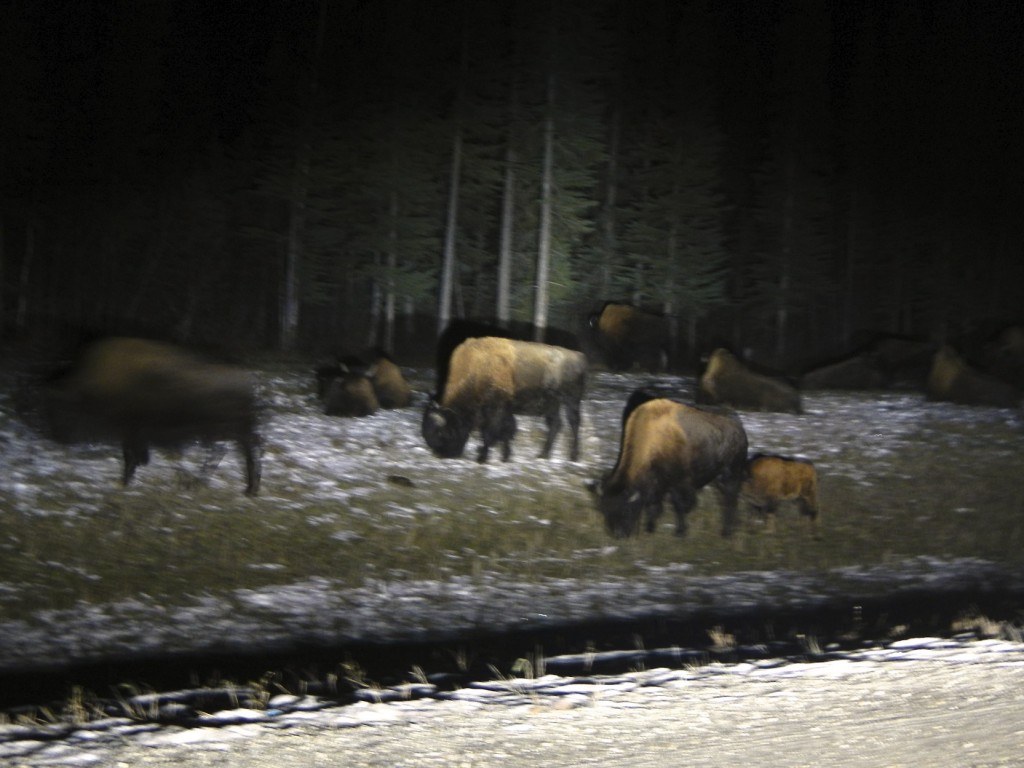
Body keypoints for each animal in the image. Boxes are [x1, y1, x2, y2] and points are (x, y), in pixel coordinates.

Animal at [44, 336, 262, 494]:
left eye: (63, 410)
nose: (57, 437)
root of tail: (245, 382)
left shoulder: (130, 430)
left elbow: (130, 457)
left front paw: (125, 481)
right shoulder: (133, 432)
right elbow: (135, 456)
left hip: (223, 431)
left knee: (230, 453)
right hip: (223, 432)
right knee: (232, 452)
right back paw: (244, 488)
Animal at [422, 336, 586, 463]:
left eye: (443, 433)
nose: (442, 454)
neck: (477, 371)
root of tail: (578, 356)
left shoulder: (496, 408)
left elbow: (491, 432)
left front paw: (482, 457)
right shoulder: (504, 411)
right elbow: (505, 431)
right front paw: (505, 456)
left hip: (571, 401)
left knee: (574, 424)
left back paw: (573, 457)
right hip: (551, 405)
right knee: (556, 425)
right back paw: (543, 455)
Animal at [595, 393, 748, 538]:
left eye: (626, 508)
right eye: (604, 508)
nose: (618, 534)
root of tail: (738, 426)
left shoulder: (678, 482)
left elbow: (678, 505)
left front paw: (680, 532)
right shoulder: (657, 482)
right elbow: (654, 505)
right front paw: (650, 528)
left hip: (731, 472)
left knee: (730, 498)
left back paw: (727, 532)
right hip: (718, 476)